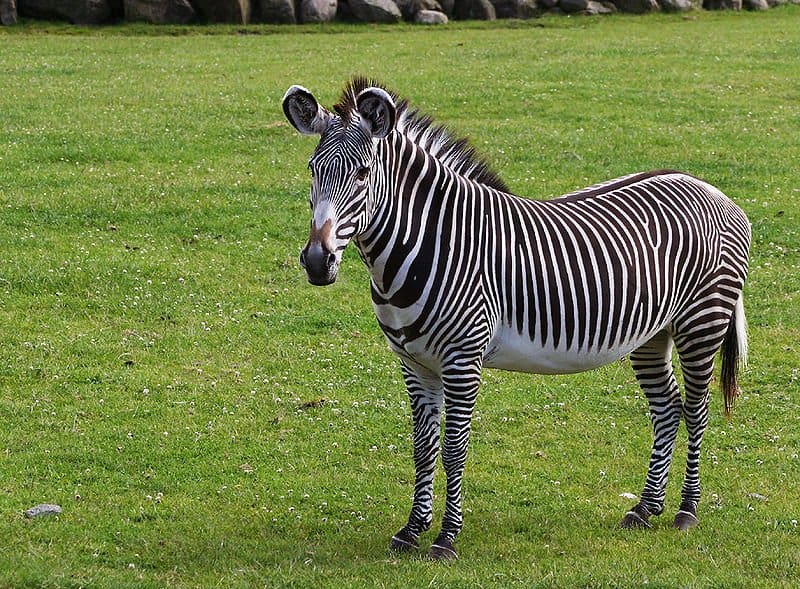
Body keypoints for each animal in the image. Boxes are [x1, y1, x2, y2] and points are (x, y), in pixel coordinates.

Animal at [280, 78, 752, 560]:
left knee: (696, 410)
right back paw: (645, 508)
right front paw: (411, 530)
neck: (429, 242)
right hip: (652, 335)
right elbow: (423, 448)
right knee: (667, 408)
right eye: (312, 170)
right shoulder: (414, 362)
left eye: (362, 174)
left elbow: (453, 449)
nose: (317, 262)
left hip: (702, 322)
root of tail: (706, 186)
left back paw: (686, 511)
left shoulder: (462, 358)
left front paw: (446, 538)